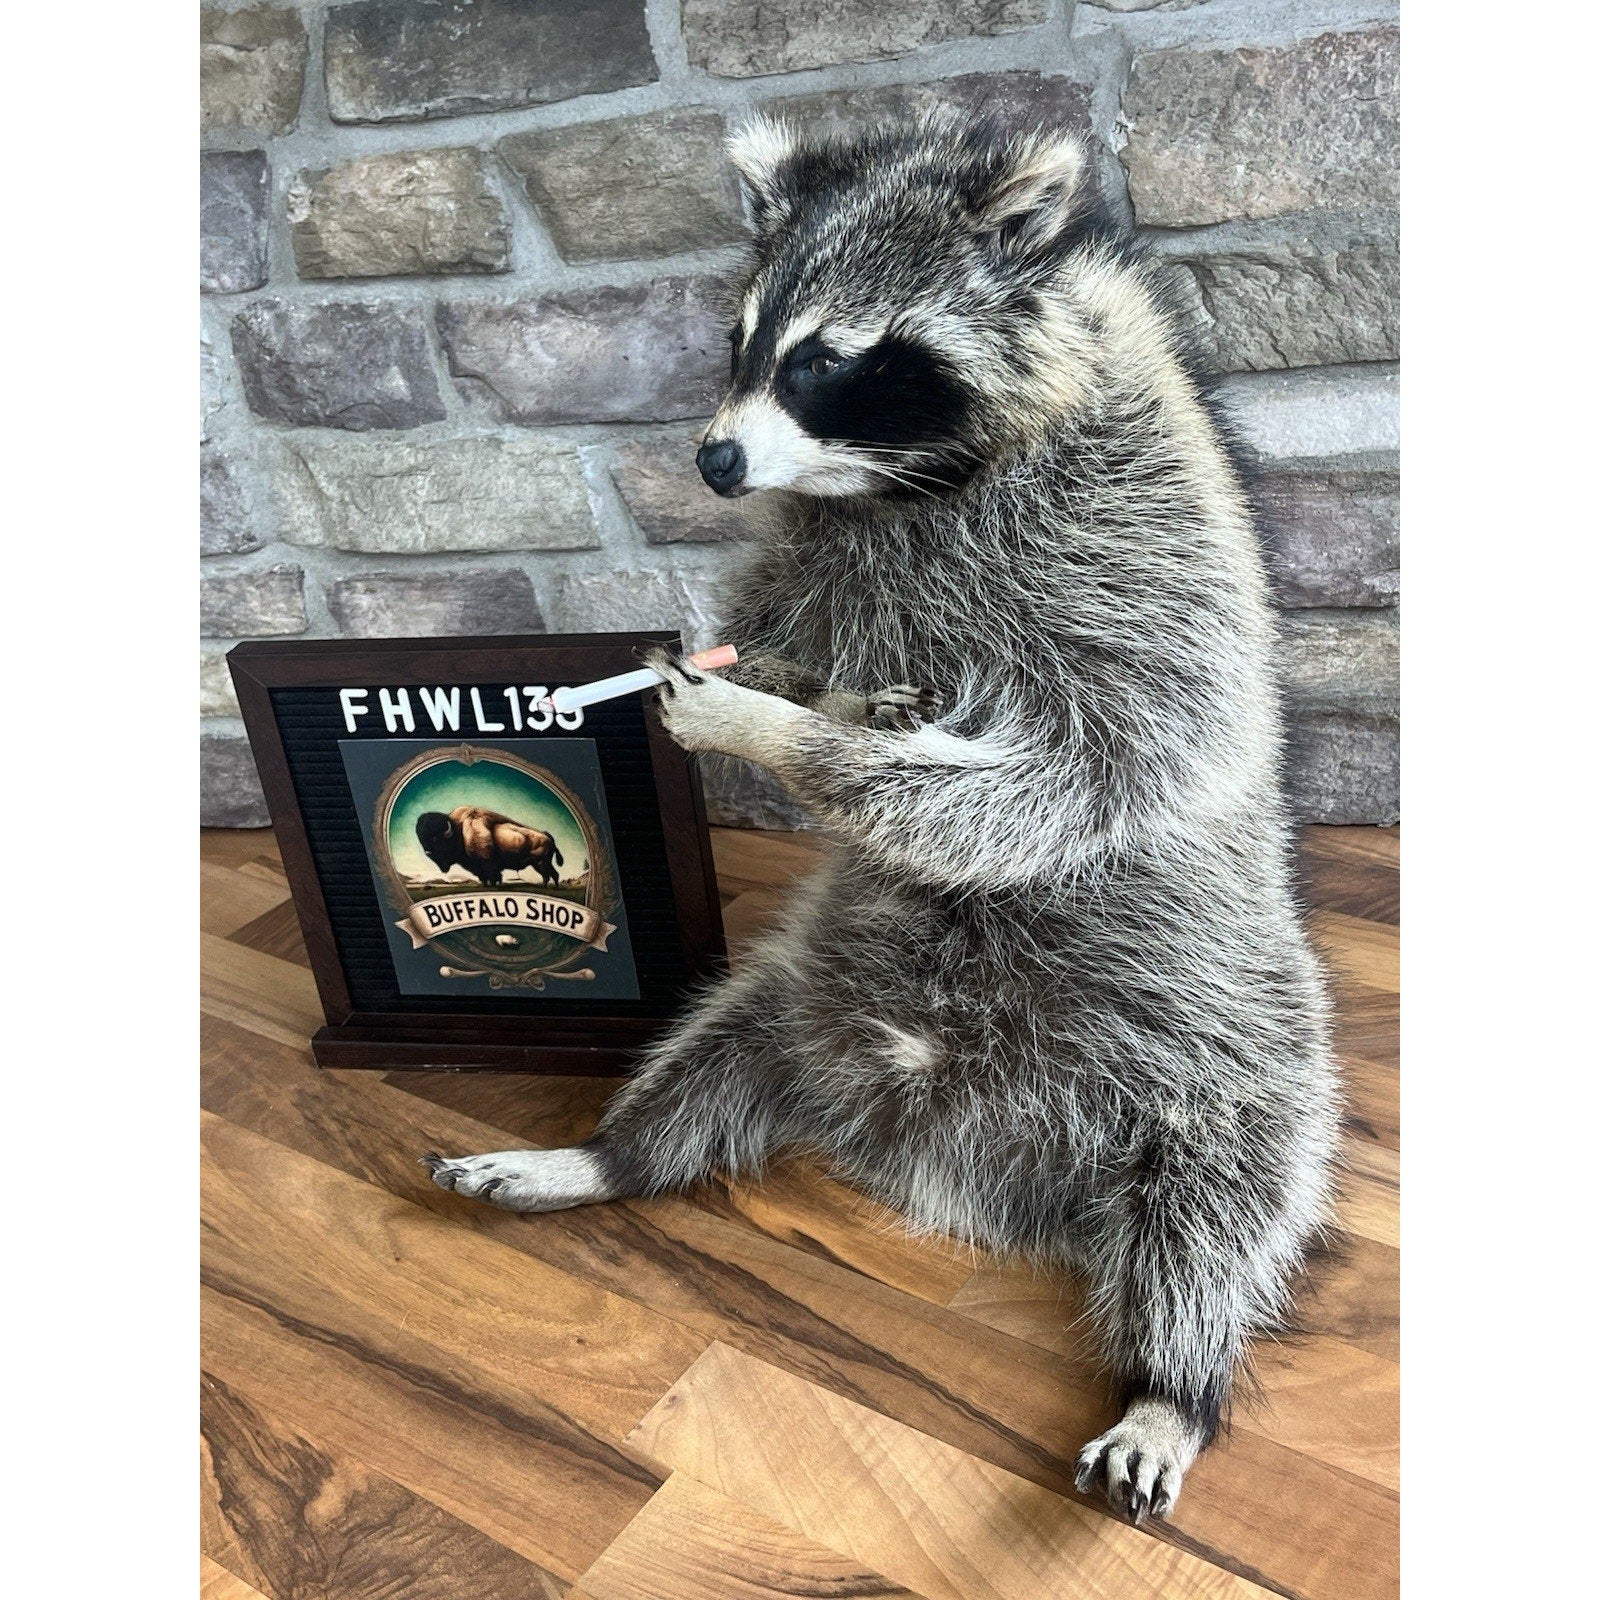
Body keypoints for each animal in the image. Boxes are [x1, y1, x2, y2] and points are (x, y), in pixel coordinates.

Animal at [427, 112, 1340, 1524]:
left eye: (824, 359)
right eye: (739, 340)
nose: (713, 459)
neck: (900, 485)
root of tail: (944, 1157)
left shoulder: (1136, 549)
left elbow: (1084, 769)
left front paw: (783, 733)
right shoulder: (818, 563)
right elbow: (816, 652)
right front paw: (819, 697)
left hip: (1238, 1050)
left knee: (1219, 1209)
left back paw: (1171, 1382)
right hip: (803, 996)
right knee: (711, 1050)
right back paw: (608, 1152)